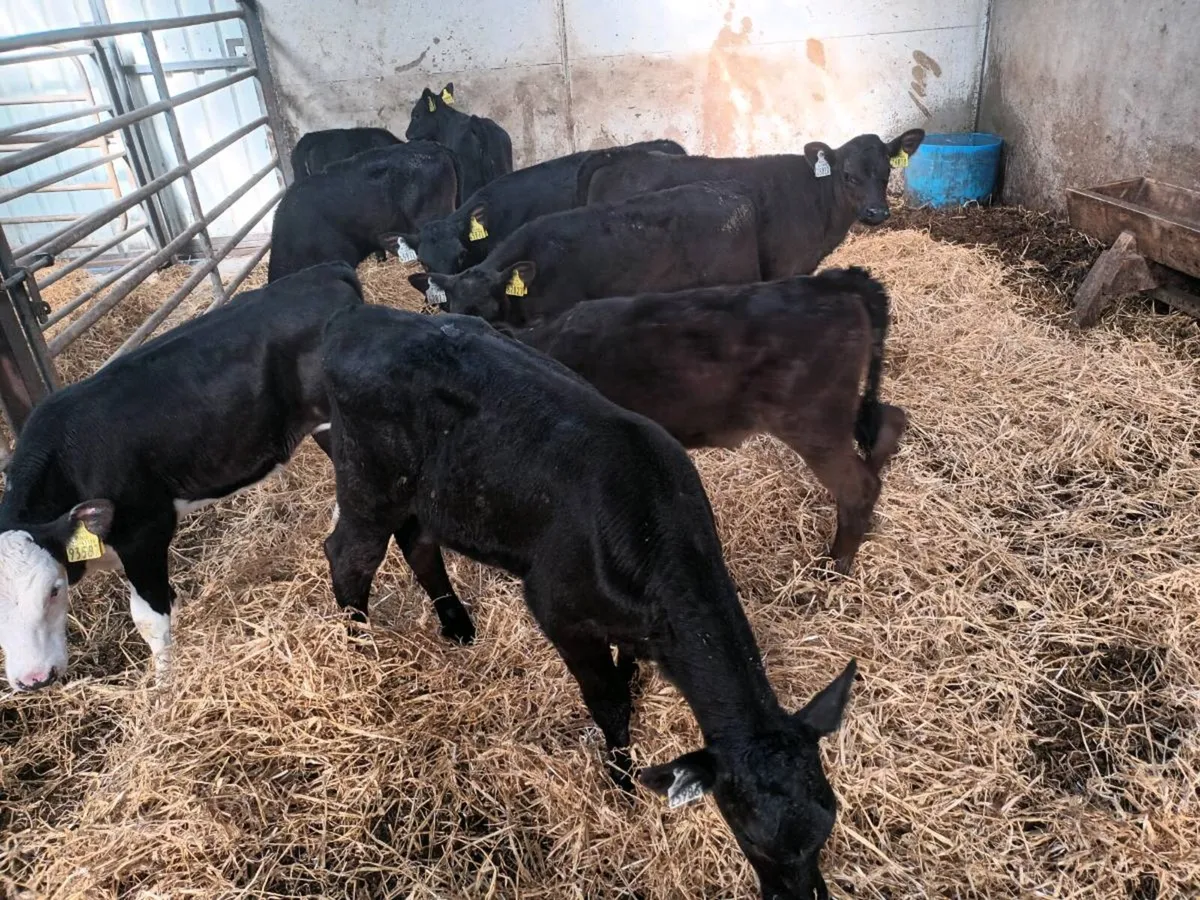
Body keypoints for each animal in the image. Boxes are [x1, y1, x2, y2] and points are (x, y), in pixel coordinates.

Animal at [0, 262, 362, 693]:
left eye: (54, 590)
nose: (33, 679)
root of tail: (325, 271)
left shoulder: (145, 531)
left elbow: (149, 620)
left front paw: (163, 686)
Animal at [320, 303, 858, 900]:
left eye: (830, 816)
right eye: (751, 835)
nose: (805, 897)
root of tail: (361, 317)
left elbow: (628, 672)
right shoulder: (560, 613)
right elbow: (608, 703)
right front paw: (621, 783)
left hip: (430, 495)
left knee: (417, 541)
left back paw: (457, 625)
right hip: (368, 483)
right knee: (348, 557)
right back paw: (359, 648)